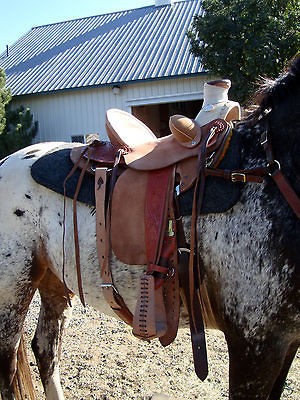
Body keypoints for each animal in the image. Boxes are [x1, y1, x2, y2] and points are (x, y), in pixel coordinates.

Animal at [0, 57, 300, 400]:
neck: (265, 172)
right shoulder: (254, 342)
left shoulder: (285, 341)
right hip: (13, 288)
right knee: (9, 366)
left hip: (54, 280)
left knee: (45, 348)